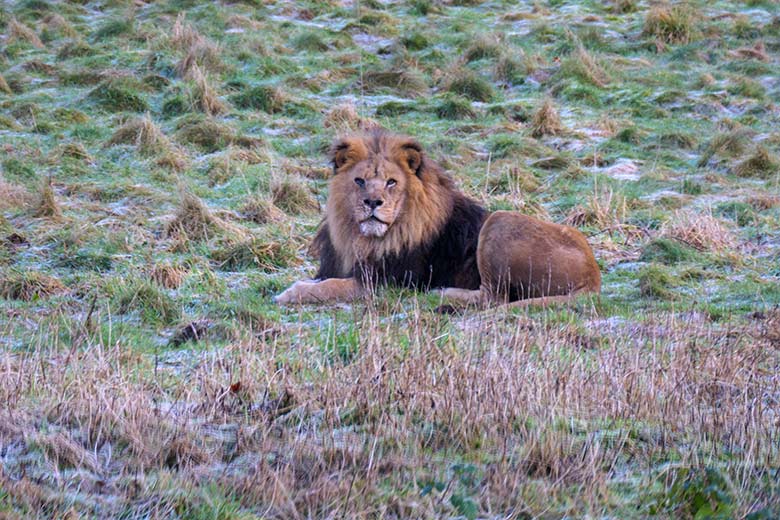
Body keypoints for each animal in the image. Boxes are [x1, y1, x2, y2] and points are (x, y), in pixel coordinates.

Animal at [276, 131, 604, 308]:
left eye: (392, 182)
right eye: (359, 181)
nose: (372, 202)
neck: (363, 238)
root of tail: (594, 276)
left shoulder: (388, 282)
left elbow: (330, 287)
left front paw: (290, 293)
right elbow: (325, 279)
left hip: (499, 221)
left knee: (494, 298)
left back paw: (443, 292)